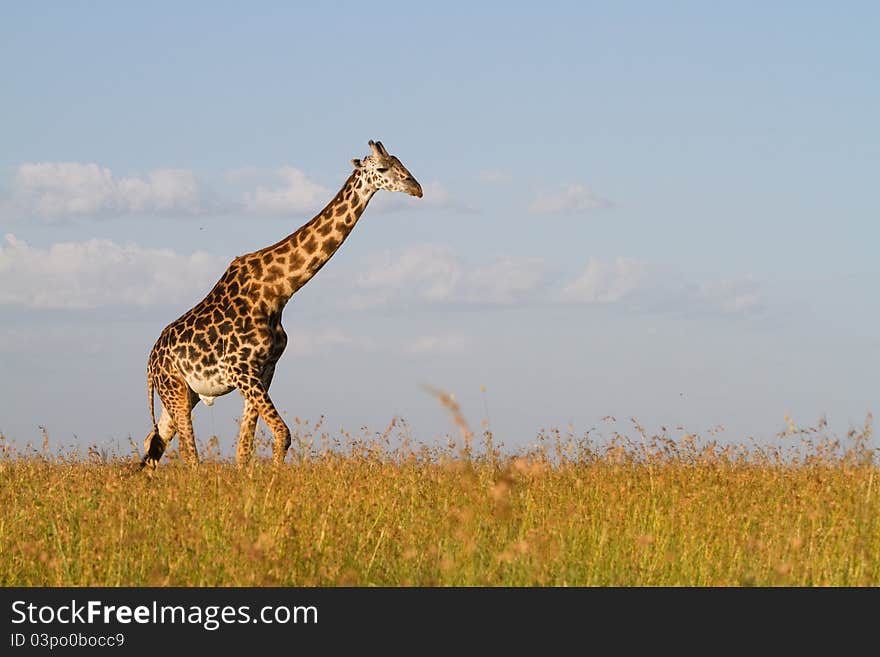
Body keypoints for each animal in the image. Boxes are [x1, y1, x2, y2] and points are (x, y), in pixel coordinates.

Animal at [141, 140, 422, 466]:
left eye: (401, 163)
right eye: (382, 168)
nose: (417, 188)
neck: (278, 291)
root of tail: (150, 362)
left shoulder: (264, 370)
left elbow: (244, 449)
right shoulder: (242, 370)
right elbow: (282, 434)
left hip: (186, 393)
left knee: (153, 444)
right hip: (174, 388)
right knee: (188, 453)